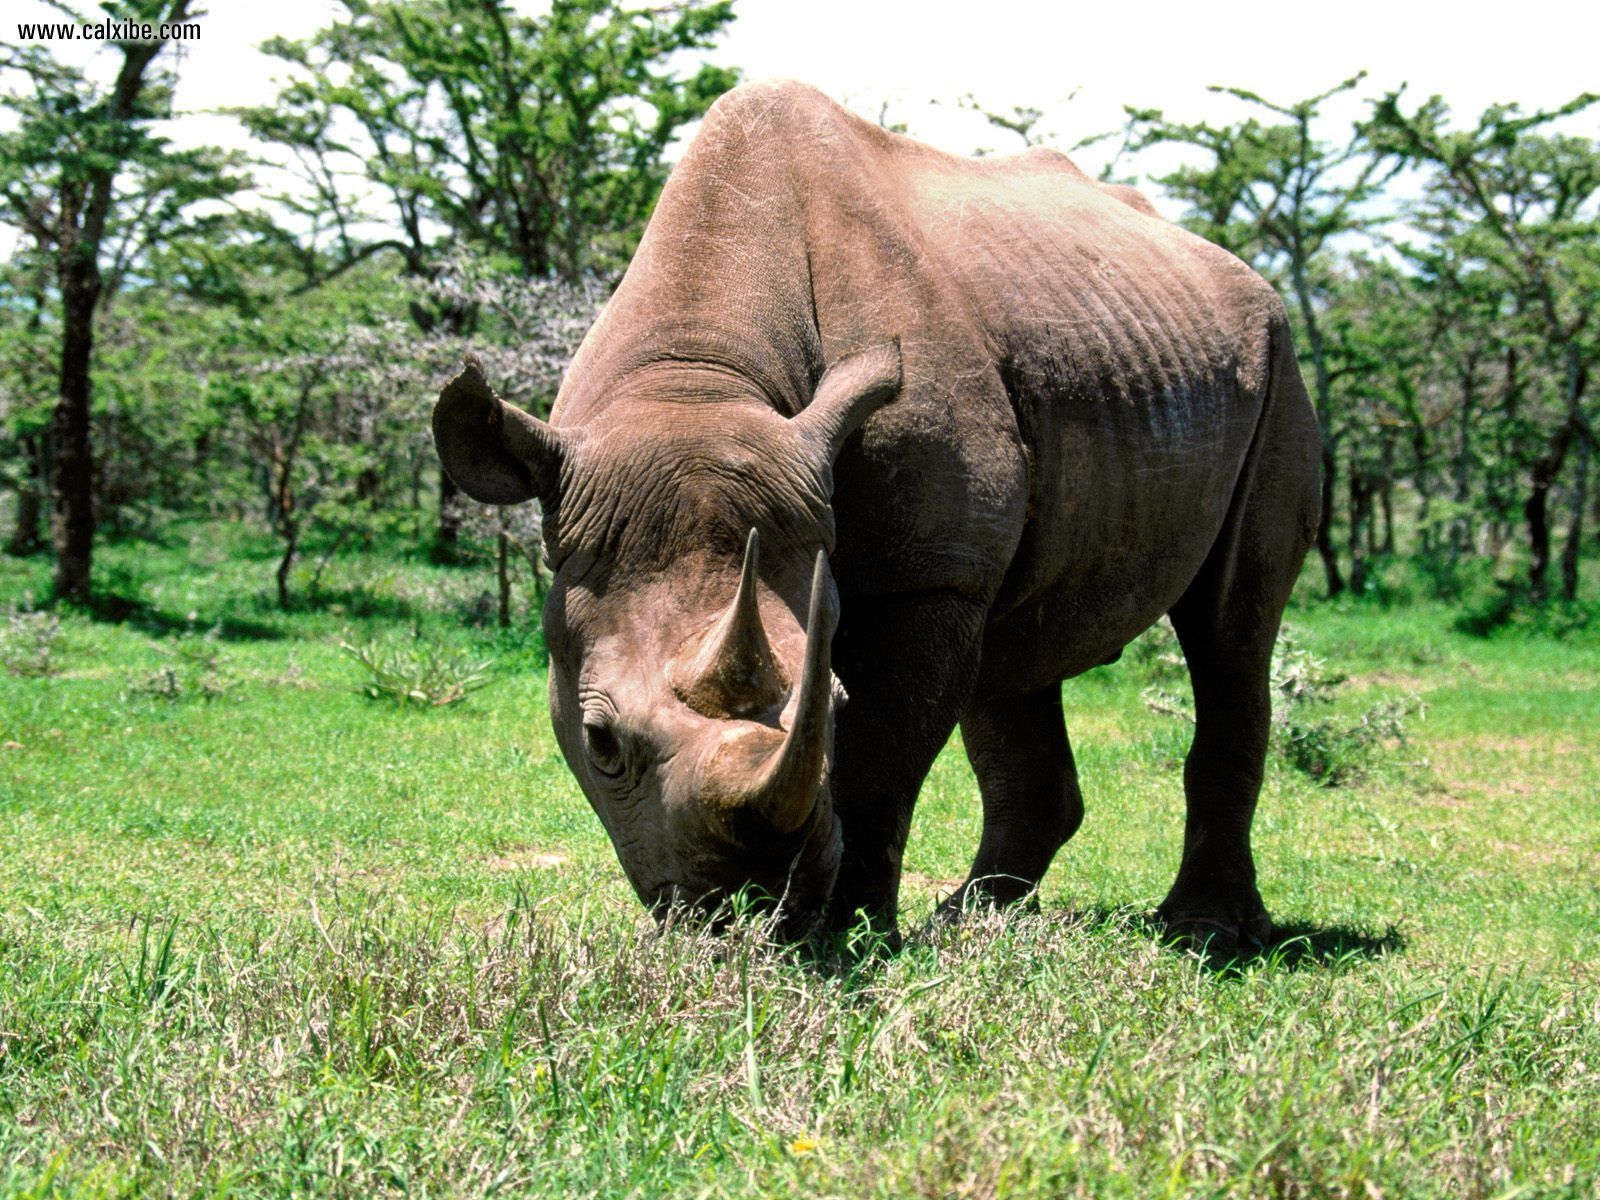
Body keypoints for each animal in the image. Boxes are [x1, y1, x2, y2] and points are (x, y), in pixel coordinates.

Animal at [434, 80, 1320, 951]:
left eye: (836, 703)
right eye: (599, 742)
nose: (745, 910)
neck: (693, 383)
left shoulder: (929, 574)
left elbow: (881, 760)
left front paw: (845, 935)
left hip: (1276, 357)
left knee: (1231, 626)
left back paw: (1204, 933)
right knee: (1018, 651)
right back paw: (974, 922)